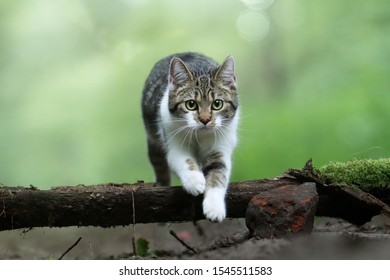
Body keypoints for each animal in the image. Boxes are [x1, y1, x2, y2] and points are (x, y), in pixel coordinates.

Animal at [140, 51, 238, 222]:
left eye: (217, 104)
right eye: (191, 104)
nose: (205, 120)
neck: (199, 135)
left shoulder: (220, 147)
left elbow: (218, 173)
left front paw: (214, 207)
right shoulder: (174, 143)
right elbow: (185, 161)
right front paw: (195, 181)